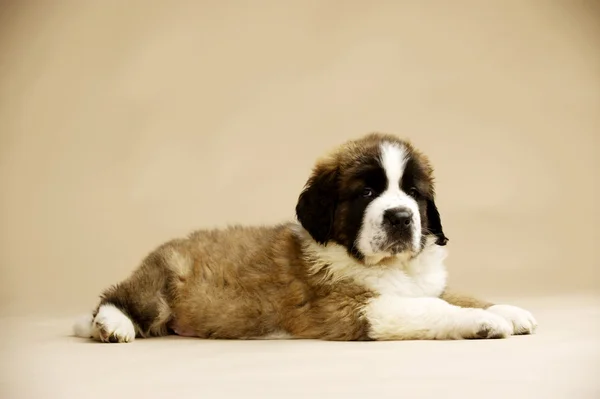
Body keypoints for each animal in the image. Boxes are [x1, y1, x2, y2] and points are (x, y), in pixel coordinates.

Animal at [72, 132, 536, 344]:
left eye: (413, 193)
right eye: (366, 193)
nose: (401, 217)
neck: (390, 267)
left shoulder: (425, 283)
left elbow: (452, 295)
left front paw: (508, 310)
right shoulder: (352, 308)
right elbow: (430, 307)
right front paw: (485, 323)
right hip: (164, 279)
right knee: (117, 298)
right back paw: (111, 324)